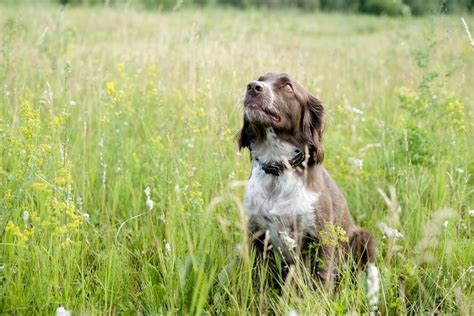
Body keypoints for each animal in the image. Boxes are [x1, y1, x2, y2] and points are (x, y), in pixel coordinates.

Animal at [239, 71, 376, 288]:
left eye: (288, 86)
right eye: (260, 79)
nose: (253, 87)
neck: (278, 169)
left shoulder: (321, 236)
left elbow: (321, 281)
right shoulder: (257, 233)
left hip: (365, 237)